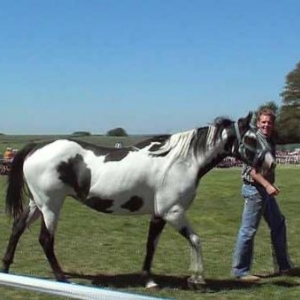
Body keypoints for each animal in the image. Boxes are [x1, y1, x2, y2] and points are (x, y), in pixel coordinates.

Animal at [1, 112, 276, 288]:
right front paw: (197, 279)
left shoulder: (159, 214)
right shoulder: (173, 212)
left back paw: (6, 268)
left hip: (36, 204)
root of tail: (37, 146)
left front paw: (150, 279)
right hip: (50, 206)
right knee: (45, 240)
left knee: (16, 228)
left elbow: (150, 246)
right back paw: (61, 278)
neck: (181, 161)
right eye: (251, 139)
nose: (271, 163)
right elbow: (196, 240)